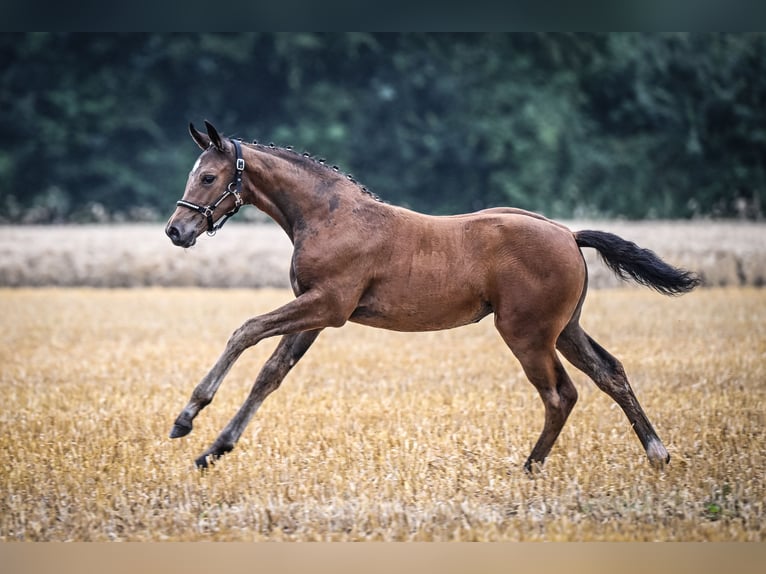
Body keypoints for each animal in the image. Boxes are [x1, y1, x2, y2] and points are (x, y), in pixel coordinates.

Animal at [164, 120, 704, 472]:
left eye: (208, 177)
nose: (176, 230)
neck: (329, 215)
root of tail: (570, 235)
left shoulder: (328, 306)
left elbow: (246, 331)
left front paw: (187, 417)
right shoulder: (315, 315)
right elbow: (271, 375)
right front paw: (214, 449)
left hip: (526, 333)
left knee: (561, 393)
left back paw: (531, 466)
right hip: (565, 330)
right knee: (610, 374)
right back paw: (656, 453)